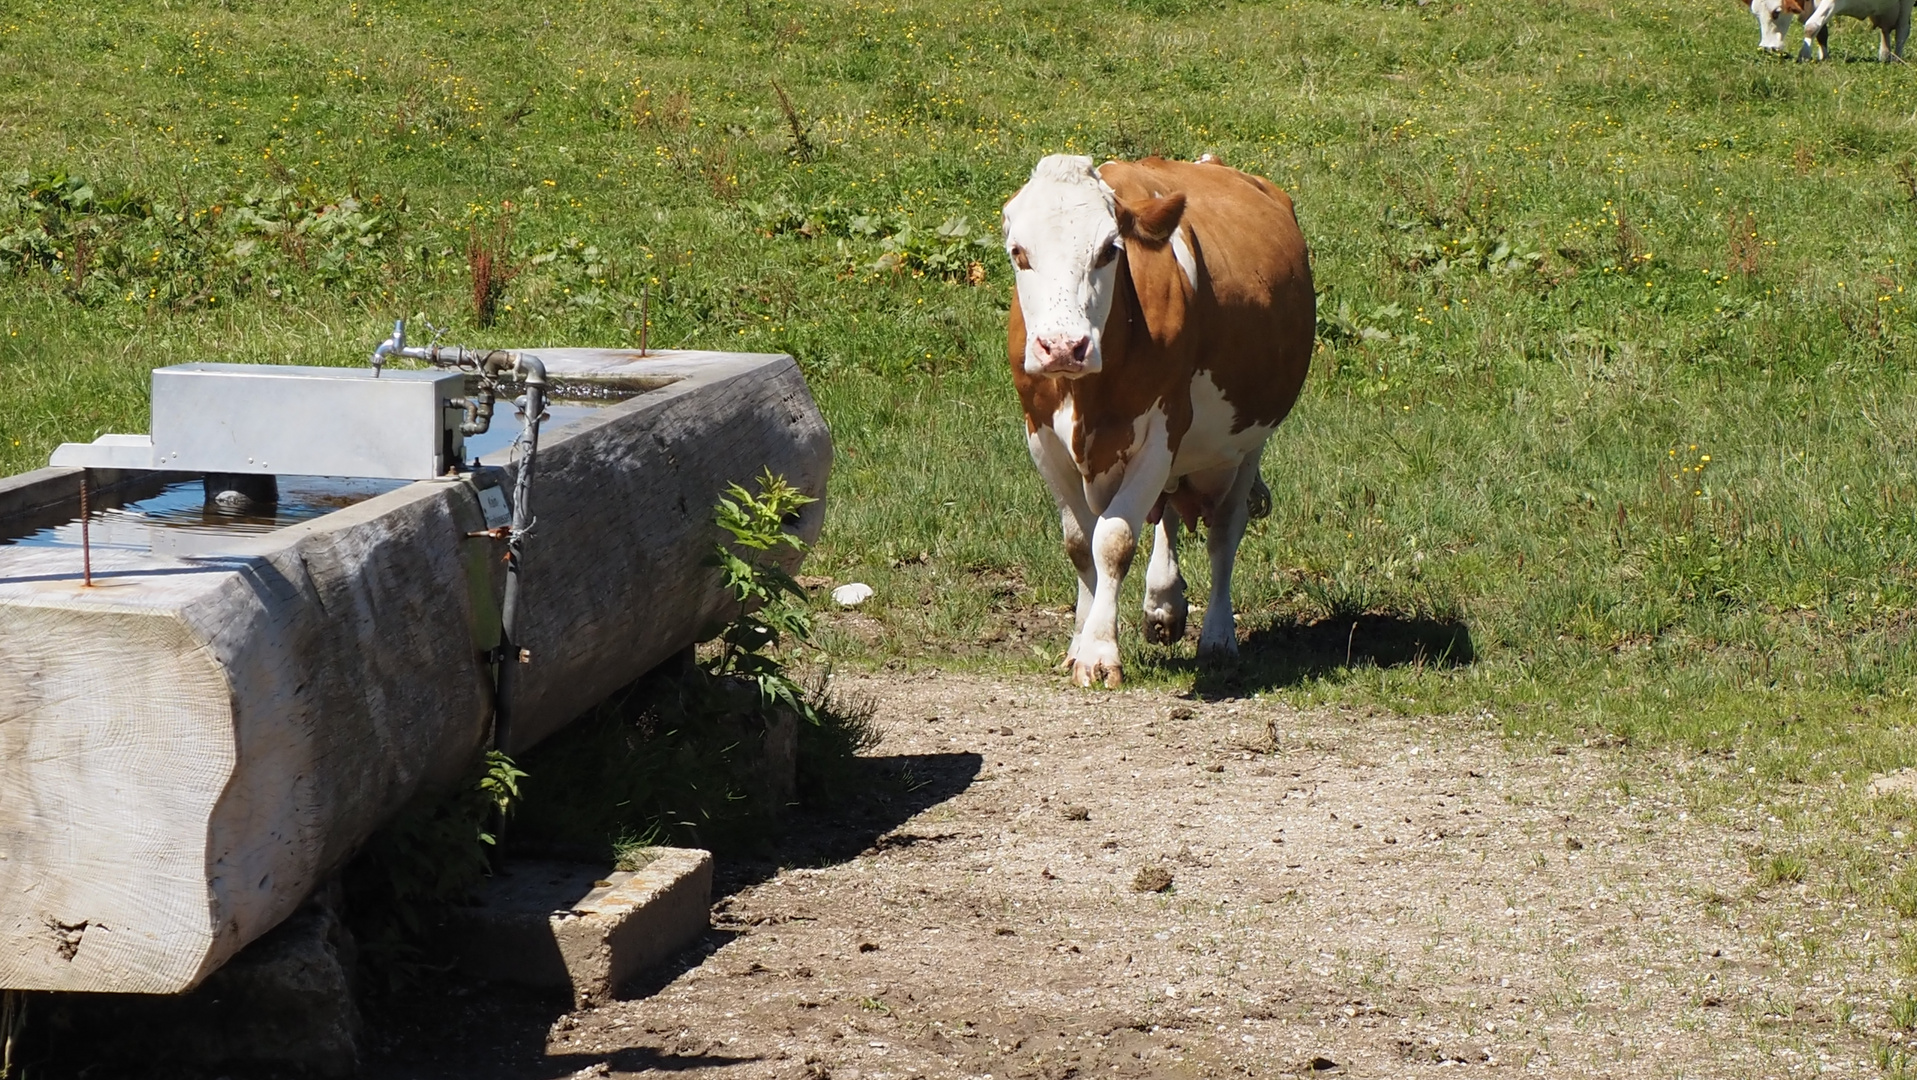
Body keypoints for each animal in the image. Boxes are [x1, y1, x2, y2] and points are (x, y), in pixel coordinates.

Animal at [1004, 155, 1318, 690]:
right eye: (1018, 252)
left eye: (1110, 250)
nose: (1064, 347)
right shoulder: (1041, 435)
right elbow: (1079, 543)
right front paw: (1079, 642)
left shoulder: (1161, 430)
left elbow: (1113, 540)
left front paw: (1099, 653)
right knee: (1169, 509)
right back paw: (1163, 603)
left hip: (1248, 443)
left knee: (1224, 531)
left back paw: (1217, 637)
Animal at [1748, 0, 1909, 60]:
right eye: (1755, 14)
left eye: (1776, 12)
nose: (1766, 48)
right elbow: (1821, 33)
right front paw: (1823, 56)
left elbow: (1811, 27)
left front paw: (1804, 56)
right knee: (1885, 31)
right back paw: (1884, 56)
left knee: (1902, 31)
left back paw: (1897, 58)